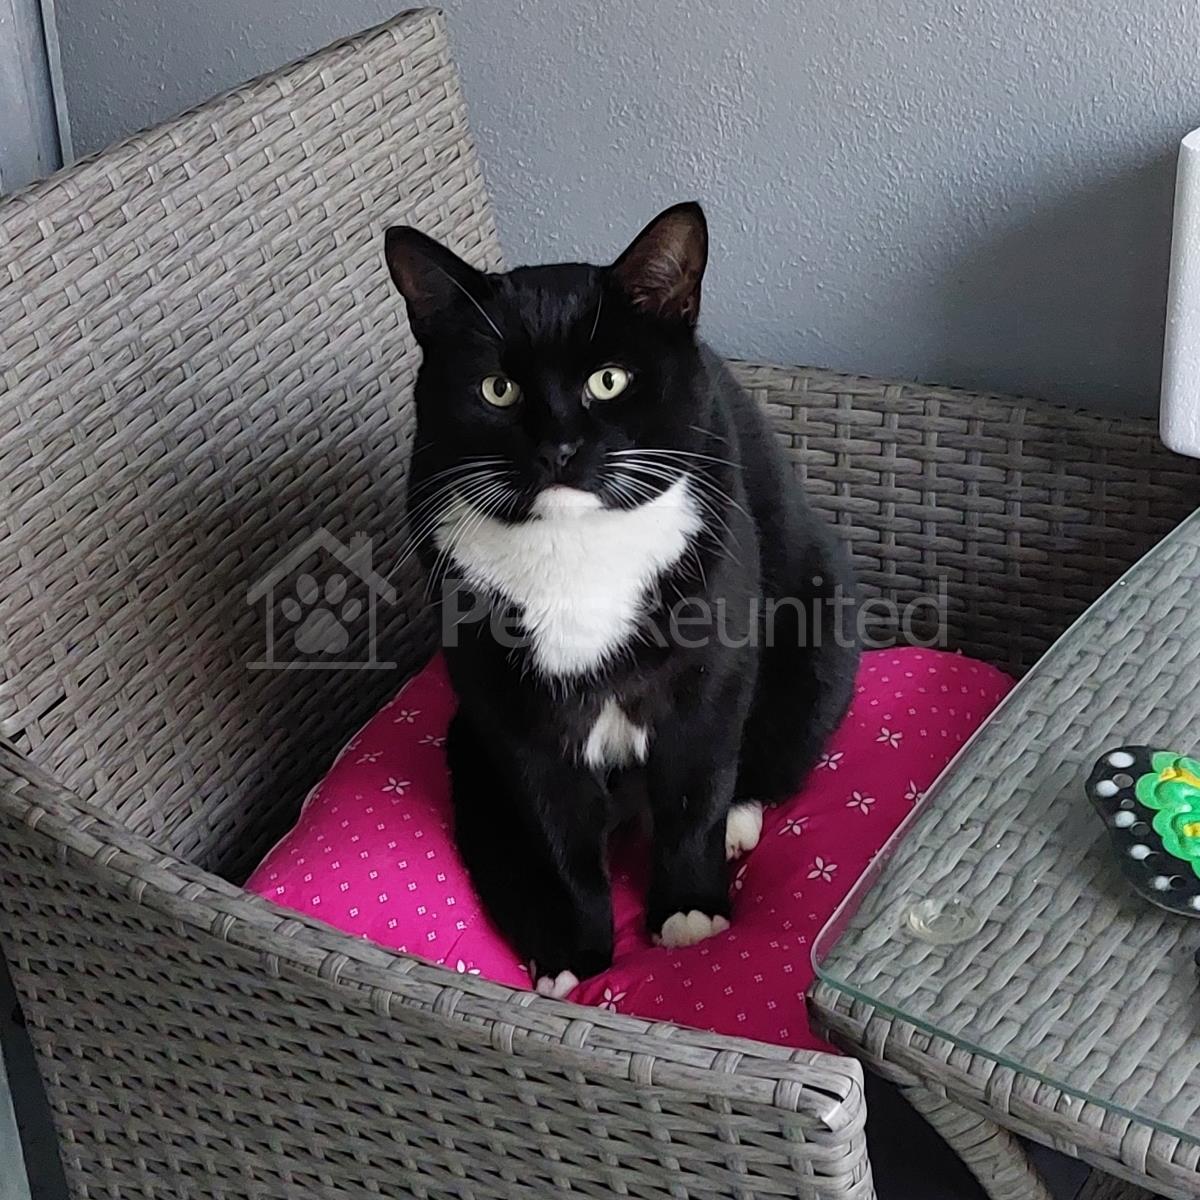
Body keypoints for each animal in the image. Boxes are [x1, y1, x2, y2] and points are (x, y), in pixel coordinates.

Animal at [384, 203, 858, 996]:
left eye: (608, 381)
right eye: (497, 390)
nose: (559, 447)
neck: (576, 550)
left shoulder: (707, 678)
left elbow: (696, 793)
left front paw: (690, 913)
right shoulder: (515, 714)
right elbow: (559, 839)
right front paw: (574, 952)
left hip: (819, 634)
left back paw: (741, 821)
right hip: (467, 739)